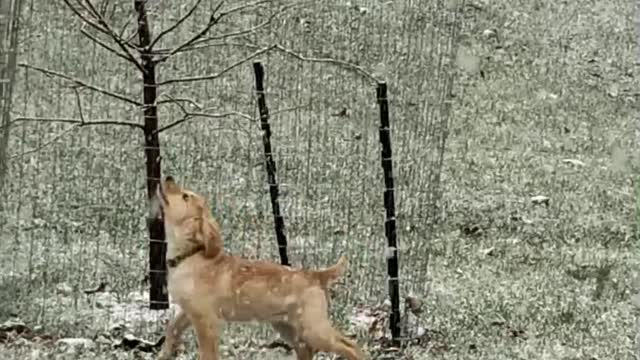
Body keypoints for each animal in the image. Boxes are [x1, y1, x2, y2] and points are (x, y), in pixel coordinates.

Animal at [154, 177, 364, 360]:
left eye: (185, 196)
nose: (169, 177)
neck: (189, 256)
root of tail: (317, 275)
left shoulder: (207, 321)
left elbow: (207, 354)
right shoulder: (187, 311)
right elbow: (171, 329)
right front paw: (164, 353)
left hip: (314, 328)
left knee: (351, 346)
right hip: (287, 326)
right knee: (307, 350)